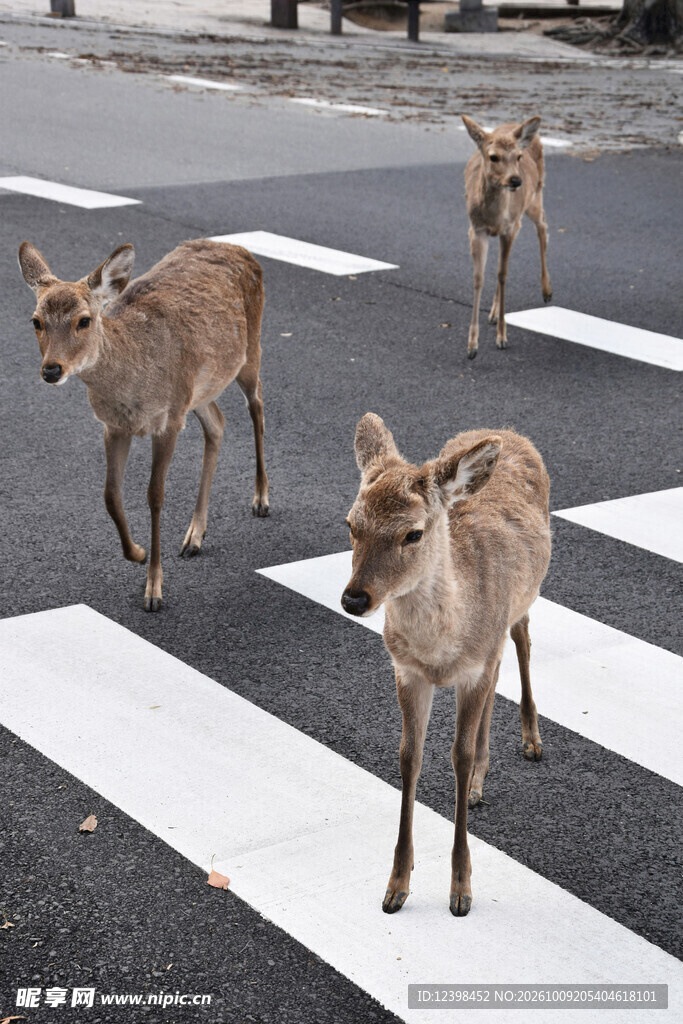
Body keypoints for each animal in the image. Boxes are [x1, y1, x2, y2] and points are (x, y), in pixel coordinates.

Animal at [18, 238, 269, 612]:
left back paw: (261, 499)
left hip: (250, 349)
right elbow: (110, 495)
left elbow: (155, 495)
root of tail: (236, 247)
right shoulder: (114, 426)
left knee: (256, 406)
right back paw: (194, 536)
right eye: (36, 321)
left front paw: (153, 589)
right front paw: (136, 553)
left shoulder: (168, 420)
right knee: (217, 423)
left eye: (84, 320)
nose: (51, 370)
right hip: (198, 391)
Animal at [342, 413, 551, 916]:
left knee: (522, 641)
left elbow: (459, 754)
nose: (354, 599)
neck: (441, 650)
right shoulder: (407, 671)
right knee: (500, 675)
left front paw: (460, 889)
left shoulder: (473, 667)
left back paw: (531, 740)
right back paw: (478, 786)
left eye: (413, 533)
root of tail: (507, 432)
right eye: (351, 524)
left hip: (523, 602)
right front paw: (396, 885)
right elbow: (409, 757)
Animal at [462, 114, 552, 359]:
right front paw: (472, 346)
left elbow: (503, 275)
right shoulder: (477, 230)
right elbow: (479, 277)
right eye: (493, 156)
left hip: (535, 196)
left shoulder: (510, 227)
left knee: (543, 227)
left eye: (518, 156)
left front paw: (502, 338)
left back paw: (547, 291)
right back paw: (493, 313)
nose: (515, 180)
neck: (494, 215)